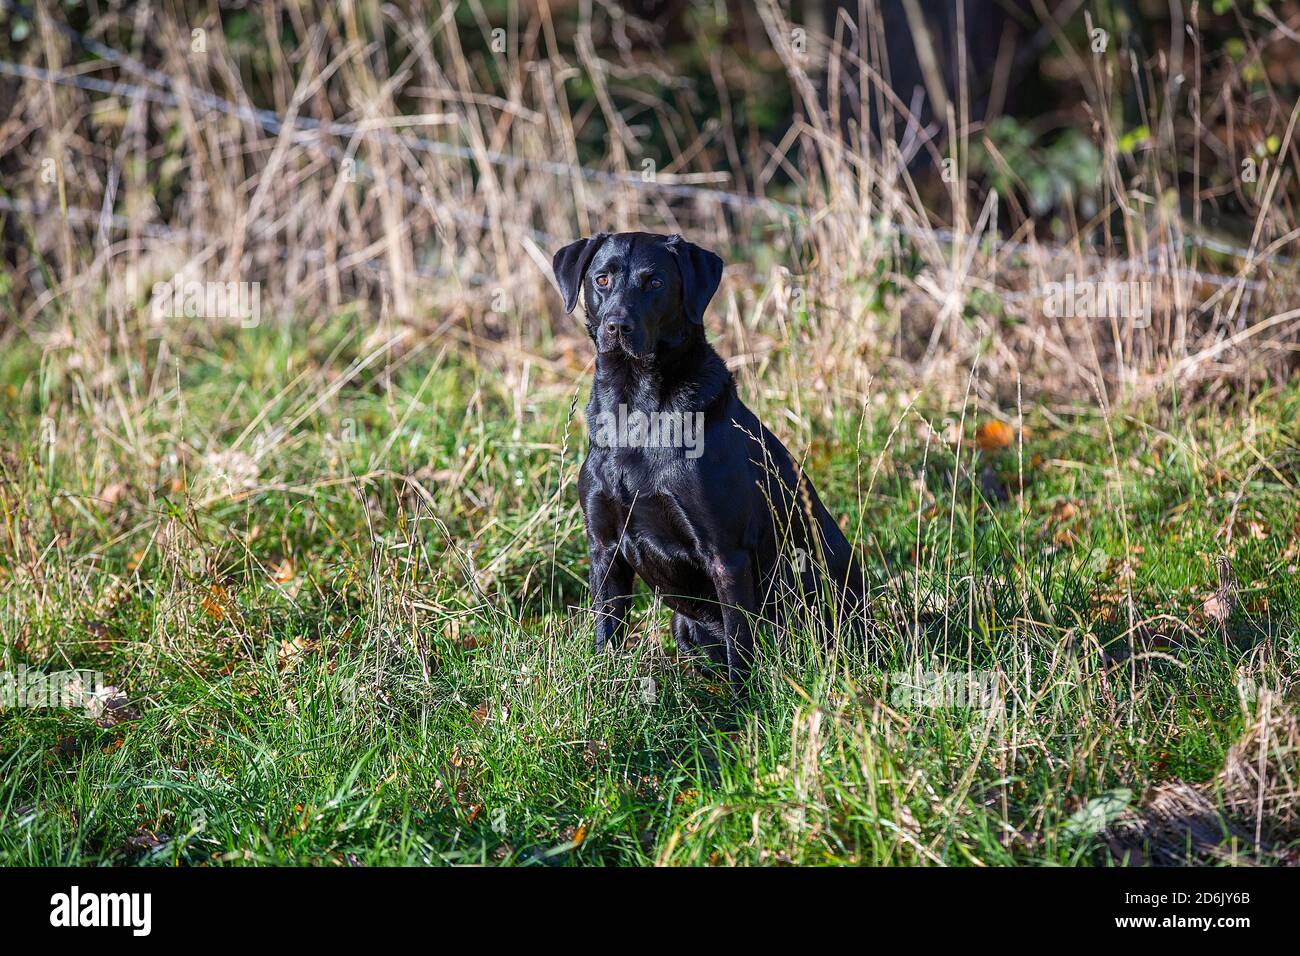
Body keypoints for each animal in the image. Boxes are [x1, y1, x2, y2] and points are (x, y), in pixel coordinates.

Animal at [551, 231, 863, 681]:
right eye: (602, 279)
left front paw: (743, 700)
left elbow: (740, 648)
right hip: (682, 624)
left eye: (655, 282)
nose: (617, 326)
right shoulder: (604, 547)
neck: (635, 408)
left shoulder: (725, 556)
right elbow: (607, 632)